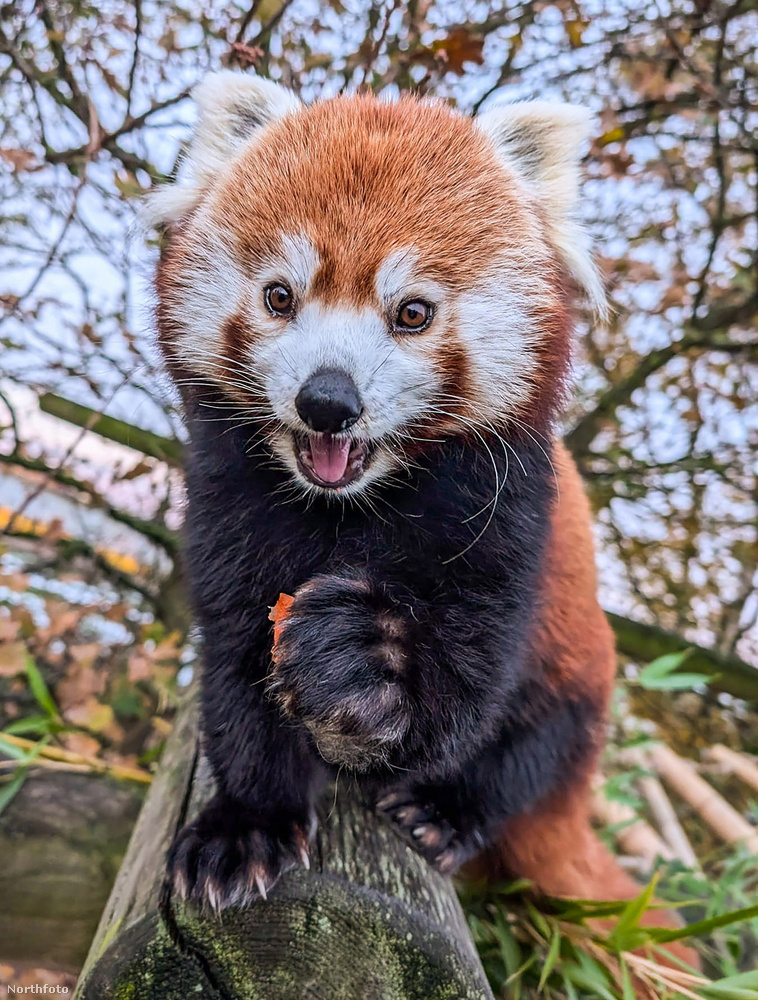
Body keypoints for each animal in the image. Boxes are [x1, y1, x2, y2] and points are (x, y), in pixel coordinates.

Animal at [150, 72, 700, 968]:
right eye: (279, 296)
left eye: (411, 312)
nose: (328, 400)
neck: (349, 503)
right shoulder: (229, 508)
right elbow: (235, 665)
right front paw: (247, 826)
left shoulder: (505, 513)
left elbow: (463, 696)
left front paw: (366, 660)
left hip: (580, 670)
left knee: (536, 752)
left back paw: (450, 812)